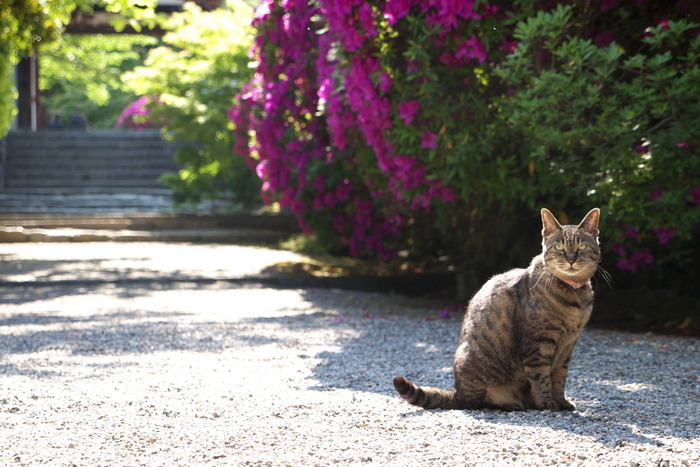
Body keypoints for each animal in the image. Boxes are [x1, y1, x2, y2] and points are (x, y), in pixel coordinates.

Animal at [394, 209, 600, 414]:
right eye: (558, 247)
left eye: (582, 246)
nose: (571, 259)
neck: (573, 296)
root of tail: (458, 392)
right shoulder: (538, 344)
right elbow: (541, 378)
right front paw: (546, 402)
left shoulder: (567, 347)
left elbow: (559, 379)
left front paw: (561, 401)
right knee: (479, 402)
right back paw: (511, 404)